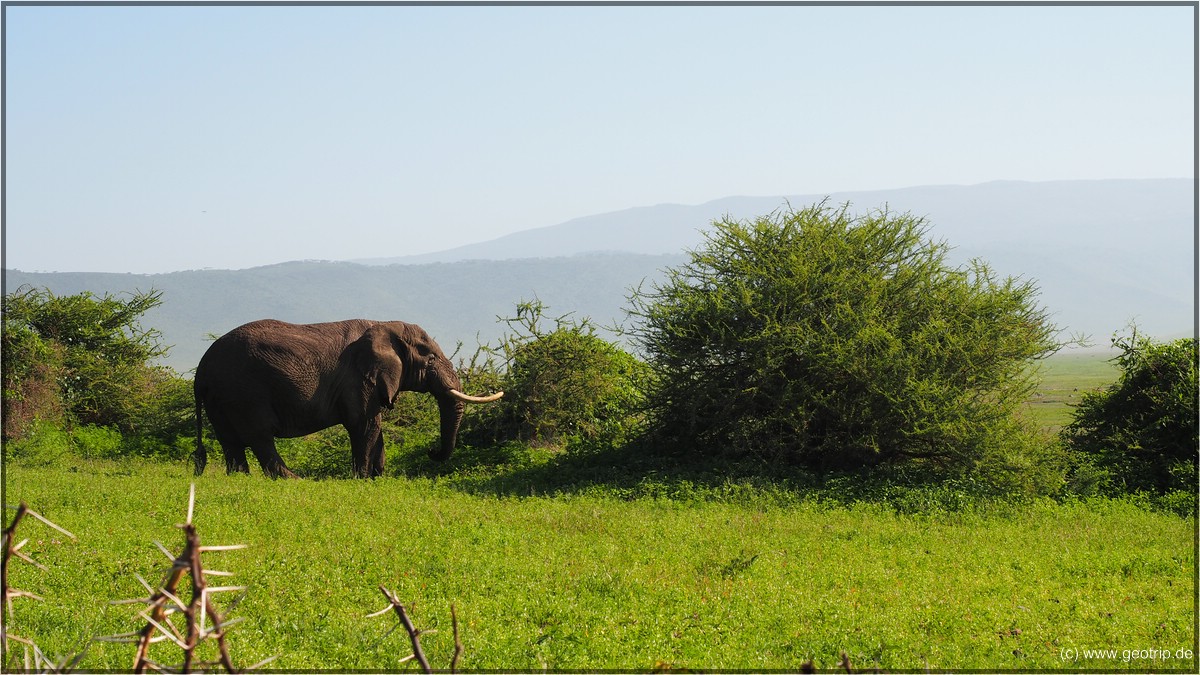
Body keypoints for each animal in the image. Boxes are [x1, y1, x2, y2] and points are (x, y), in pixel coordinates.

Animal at [192, 317, 501, 475]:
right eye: (430, 357)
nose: (432, 452)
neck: (382, 325)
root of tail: (202, 368)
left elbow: (375, 428)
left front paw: (378, 477)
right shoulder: (357, 377)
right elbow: (365, 426)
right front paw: (361, 478)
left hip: (220, 396)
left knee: (230, 441)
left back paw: (240, 478)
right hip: (243, 391)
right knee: (259, 437)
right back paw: (294, 480)